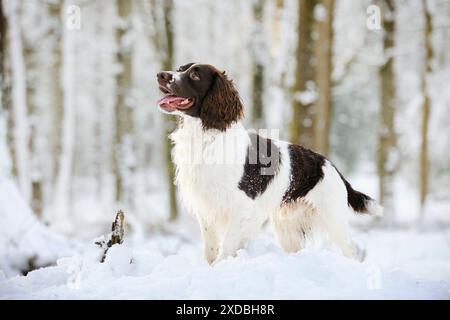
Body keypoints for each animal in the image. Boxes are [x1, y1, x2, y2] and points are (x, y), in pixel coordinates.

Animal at [156, 62, 382, 264]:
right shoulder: (206, 206)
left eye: (195, 75)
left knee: (351, 250)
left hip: (334, 218)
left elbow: (226, 248)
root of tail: (331, 166)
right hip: (287, 227)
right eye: (179, 69)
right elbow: (210, 250)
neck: (207, 137)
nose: (161, 75)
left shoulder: (241, 207)